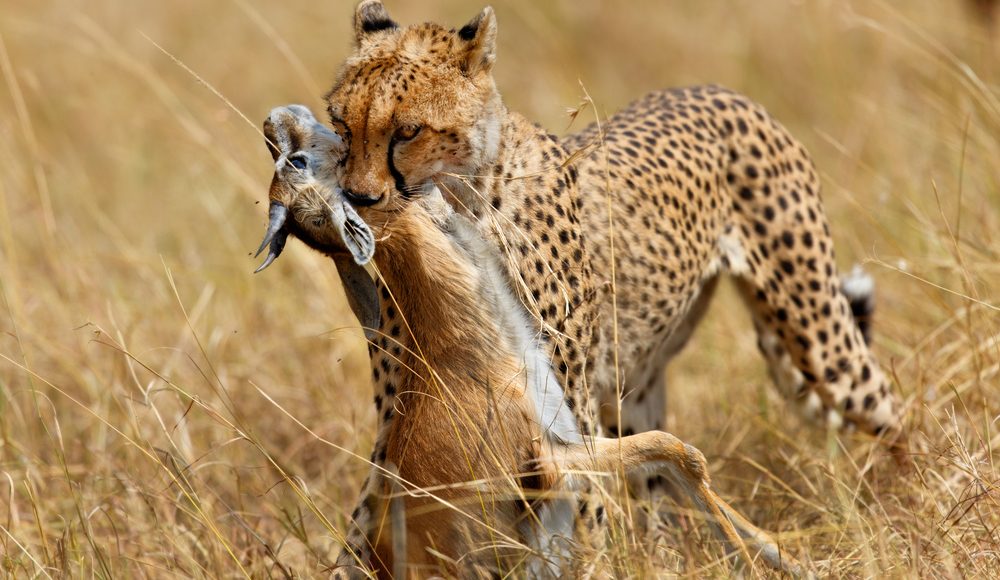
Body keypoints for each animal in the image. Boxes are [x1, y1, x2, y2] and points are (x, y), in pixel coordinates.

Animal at [264, 0, 905, 574]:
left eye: (408, 130)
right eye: (342, 125)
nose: (361, 199)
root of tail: (715, 88)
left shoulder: (558, 404)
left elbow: (587, 510)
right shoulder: (412, 407)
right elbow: (376, 513)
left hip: (819, 339)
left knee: (890, 408)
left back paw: (903, 500)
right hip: (634, 383)